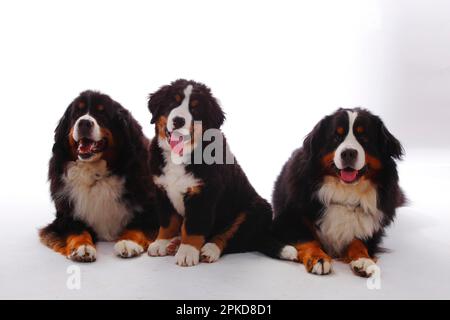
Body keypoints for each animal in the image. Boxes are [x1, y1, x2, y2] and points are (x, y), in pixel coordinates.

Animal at [39, 90, 158, 262]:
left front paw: (127, 243)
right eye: (77, 113)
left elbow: (137, 226)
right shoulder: (65, 216)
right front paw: (82, 247)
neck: (96, 175)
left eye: (102, 113)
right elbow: (77, 230)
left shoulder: (151, 211)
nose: (84, 123)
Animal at [146, 79, 272, 268]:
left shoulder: (204, 193)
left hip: (256, 210)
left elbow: (194, 226)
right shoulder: (162, 190)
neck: (179, 157)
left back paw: (209, 250)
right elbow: (168, 222)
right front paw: (161, 242)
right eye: (172, 103)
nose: (178, 120)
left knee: (233, 237)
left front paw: (187, 251)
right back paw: (174, 243)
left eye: (195, 109)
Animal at [266, 108, 406, 278]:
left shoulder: (373, 229)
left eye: (364, 137)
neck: (345, 193)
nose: (349, 153)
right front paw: (318, 258)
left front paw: (363, 260)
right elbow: (307, 239)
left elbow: (358, 241)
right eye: (336, 137)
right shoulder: (288, 219)